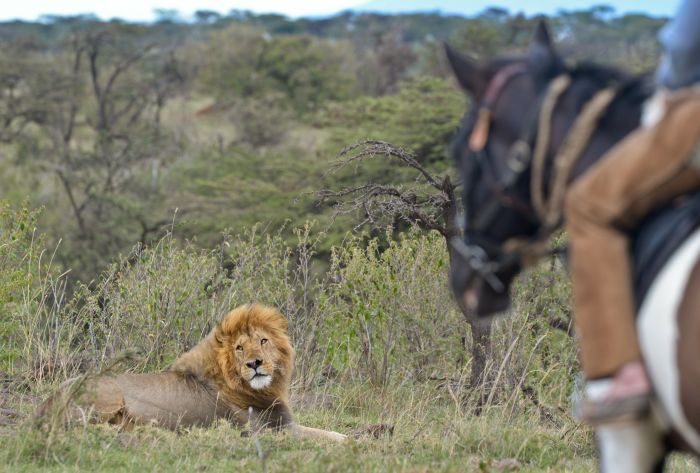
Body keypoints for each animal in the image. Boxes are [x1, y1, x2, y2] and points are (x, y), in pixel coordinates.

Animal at [35, 304, 348, 440]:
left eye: (263, 341)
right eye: (239, 348)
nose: (255, 364)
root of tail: (44, 404)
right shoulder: (270, 430)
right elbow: (331, 436)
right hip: (108, 393)